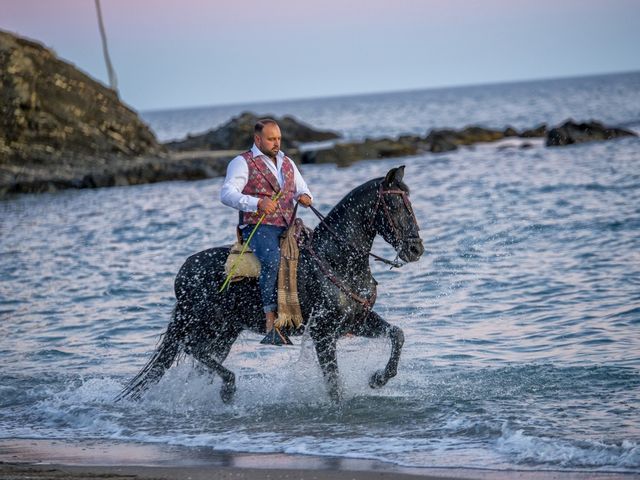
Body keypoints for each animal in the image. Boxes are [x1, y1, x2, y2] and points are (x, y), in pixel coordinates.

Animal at [115, 165, 424, 402]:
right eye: (395, 205)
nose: (416, 249)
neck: (336, 260)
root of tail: (183, 273)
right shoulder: (323, 333)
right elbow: (334, 383)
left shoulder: (355, 321)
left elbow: (397, 334)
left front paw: (378, 379)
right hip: (201, 325)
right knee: (191, 349)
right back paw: (228, 388)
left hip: (224, 333)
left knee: (200, 361)